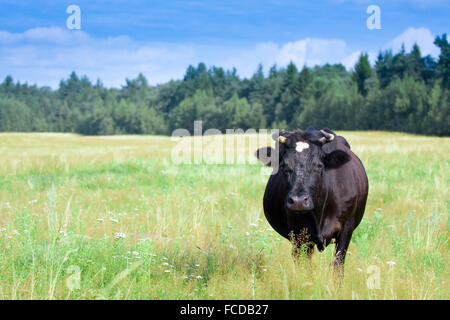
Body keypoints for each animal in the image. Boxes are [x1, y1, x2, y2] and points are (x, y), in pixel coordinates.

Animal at [255, 127, 368, 278]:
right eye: (284, 165)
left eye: (319, 166)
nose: (298, 201)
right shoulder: (298, 233)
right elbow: (303, 267)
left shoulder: (347, 227)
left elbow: (337, 266)